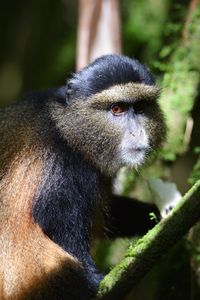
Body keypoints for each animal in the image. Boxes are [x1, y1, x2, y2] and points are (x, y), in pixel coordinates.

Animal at [0, 54, 166, 300]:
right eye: (117, 109)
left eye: (140, 107)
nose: (137, 132)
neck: (67, 126)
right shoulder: (63, 169)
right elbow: (59, 227)